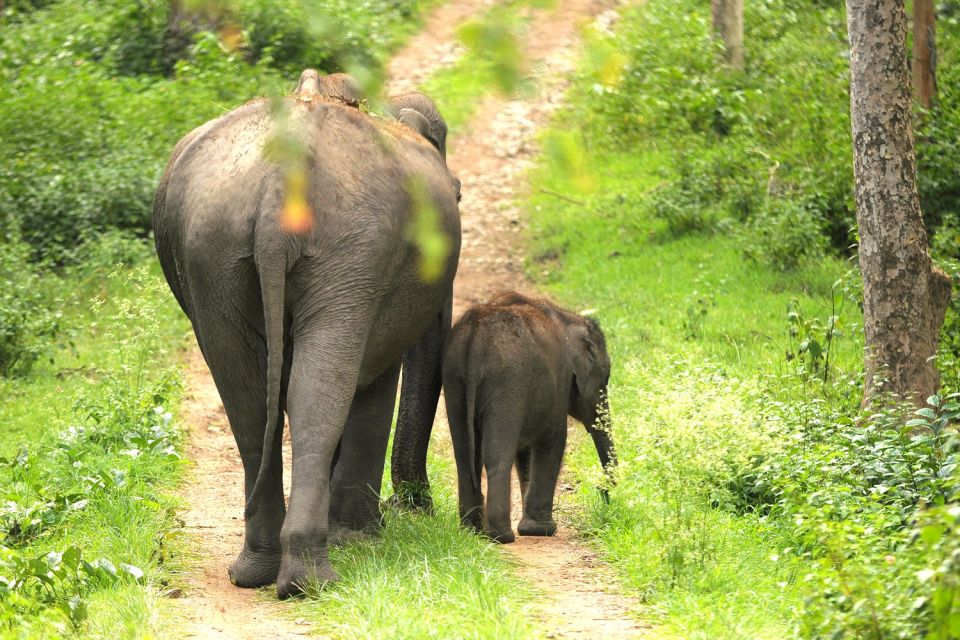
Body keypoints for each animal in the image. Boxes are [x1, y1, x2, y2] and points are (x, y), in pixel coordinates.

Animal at [154, 71, 462, 600]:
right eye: (459, 194)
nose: (415, 505)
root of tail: (282, 178)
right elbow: (373, 382)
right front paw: (361, 538)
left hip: (215, 251)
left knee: (250, 397)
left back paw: (260, 572)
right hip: (347, 249)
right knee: (318, 390)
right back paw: (312, 576)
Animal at [442, 292, 616, 544]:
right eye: (606, 379)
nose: (602, 491)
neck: (568, 317)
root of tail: (475, 342)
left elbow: (524, 453)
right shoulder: (559, 380)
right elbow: (553, 440)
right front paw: (540, 531)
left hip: (454, 380)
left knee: (464, 457)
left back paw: (471, 530)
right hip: (507, 384)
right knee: (497, 456)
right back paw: (500, 536)